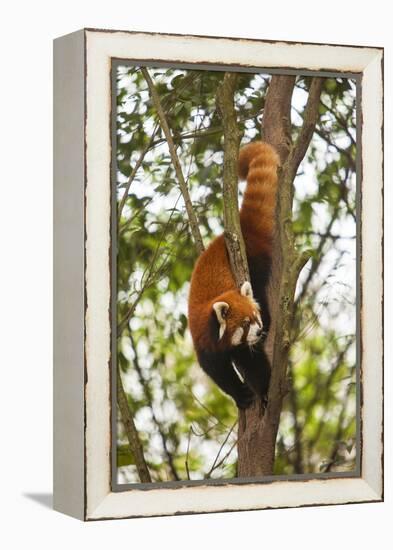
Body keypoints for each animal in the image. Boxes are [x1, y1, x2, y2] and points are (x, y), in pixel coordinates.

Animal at [188, 142, 278, 410]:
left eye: (255, 317)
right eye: (245, 324)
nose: (259, 331)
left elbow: (254, 362)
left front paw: (264, 390)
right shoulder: (204, 342)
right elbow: (218, 372)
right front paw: (240, 394)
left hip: (256, 264)